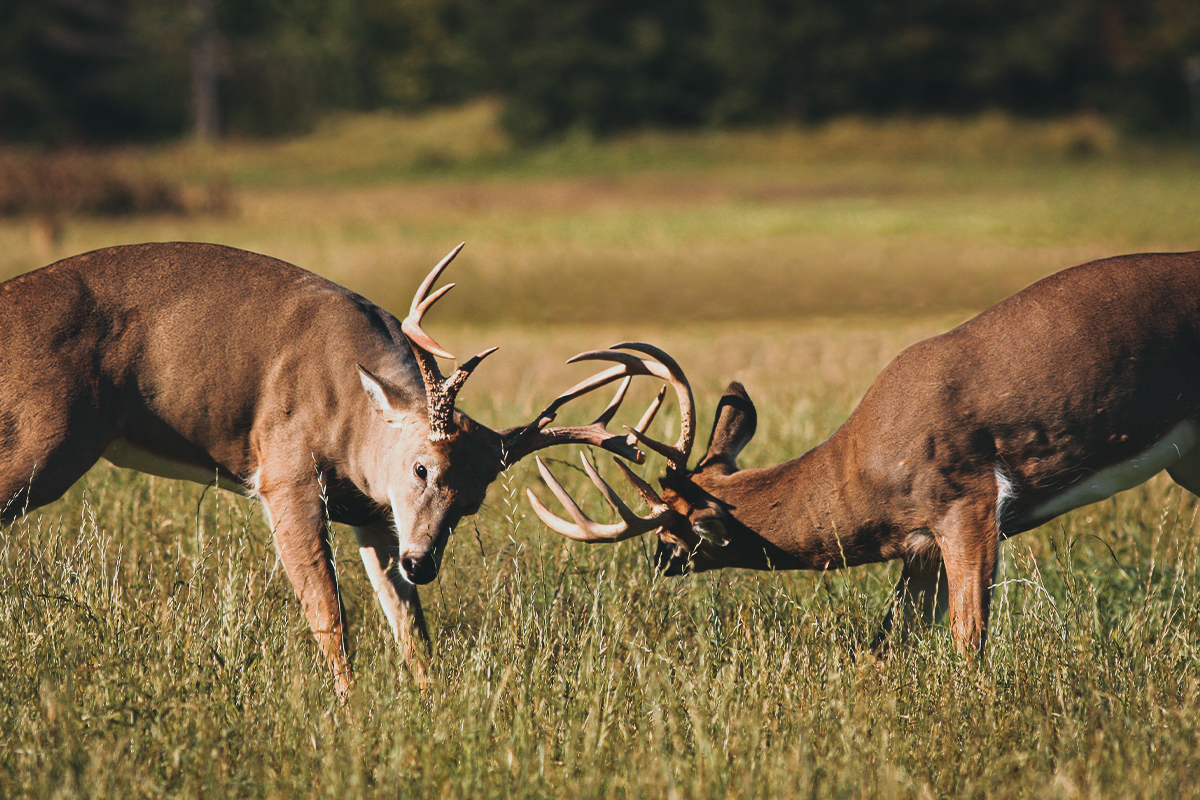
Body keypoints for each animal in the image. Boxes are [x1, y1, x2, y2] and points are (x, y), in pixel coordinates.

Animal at [2, 241, 657, 695]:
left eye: (474, 500)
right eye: (422, 468)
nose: (425, 563)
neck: (352, 415)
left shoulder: (375, 515)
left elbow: (408, 622)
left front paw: (433, 699)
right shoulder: (285, 472)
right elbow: (328, 612)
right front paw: (350, 707)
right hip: (41, 444)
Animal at [530, 251, 1200, 657]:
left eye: (675, 527)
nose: (657, 562)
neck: (864, 474)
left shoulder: (969, 501)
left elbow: (969, 639)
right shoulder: (921, 546)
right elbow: (888, 641)